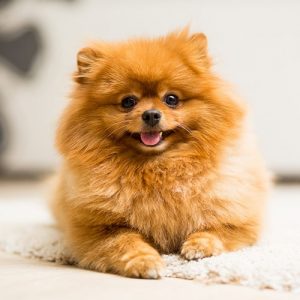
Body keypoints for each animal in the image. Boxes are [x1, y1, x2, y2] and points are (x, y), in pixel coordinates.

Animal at [51, 28, 270, 278]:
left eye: (171, 99)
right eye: (128, 101)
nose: (151, 114)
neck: (159, 167)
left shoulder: (238, 219)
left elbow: (216, 230)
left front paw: (199, 246)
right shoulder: (97, 230)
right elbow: (125, 243)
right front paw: (144, 262)